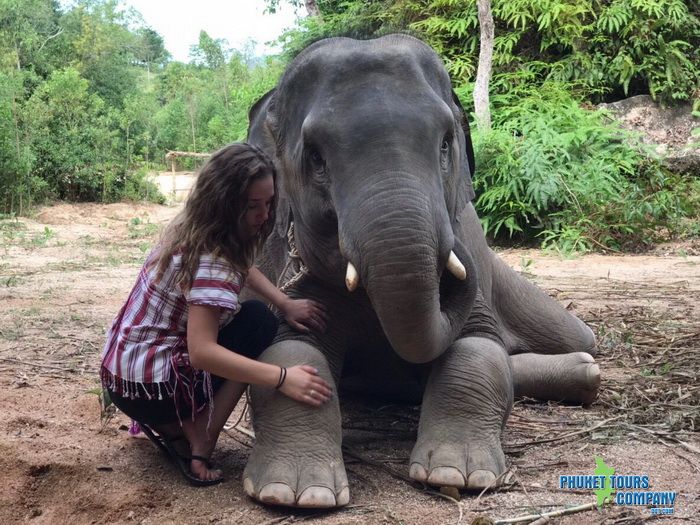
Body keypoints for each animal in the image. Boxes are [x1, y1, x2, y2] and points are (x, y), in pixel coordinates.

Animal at [242, 33, 600, 508]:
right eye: (316, 158)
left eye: (445, 143)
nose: (458, 242)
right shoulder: (297, 278)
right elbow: (290, 351)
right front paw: (296, 492)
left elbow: (478, 349)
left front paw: (457, 474)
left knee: (577, 336)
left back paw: (587, 368)